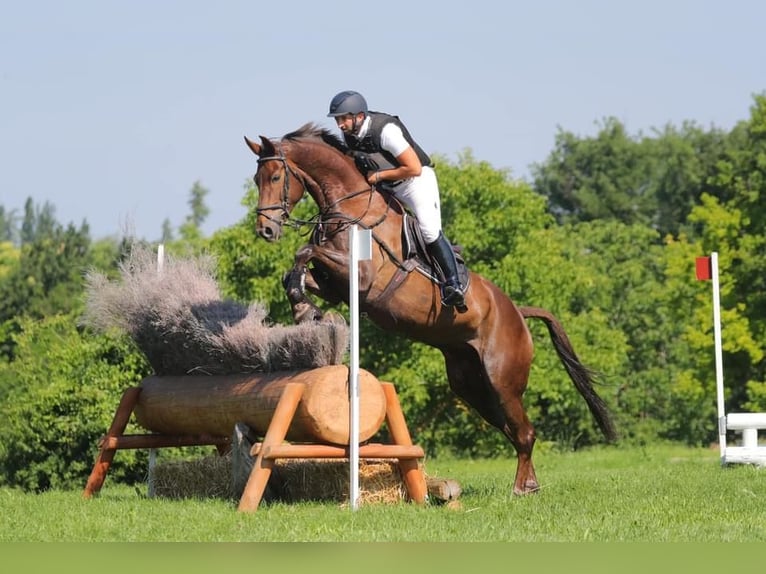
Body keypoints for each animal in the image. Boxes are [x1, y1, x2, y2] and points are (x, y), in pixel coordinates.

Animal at [246, 124, 616, 498]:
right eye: (256, 179)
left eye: (275, 176)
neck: (352, 207)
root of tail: (517, 312)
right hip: (471, 385)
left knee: (524, 431)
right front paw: (305, 309)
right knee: (515, 431)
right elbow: (296, 270)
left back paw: (520, 489)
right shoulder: (337, 287)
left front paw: (306, 310)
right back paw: (531, 484)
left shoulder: (363, 279)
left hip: (502, 380)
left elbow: (304, 251)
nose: (266, 230)